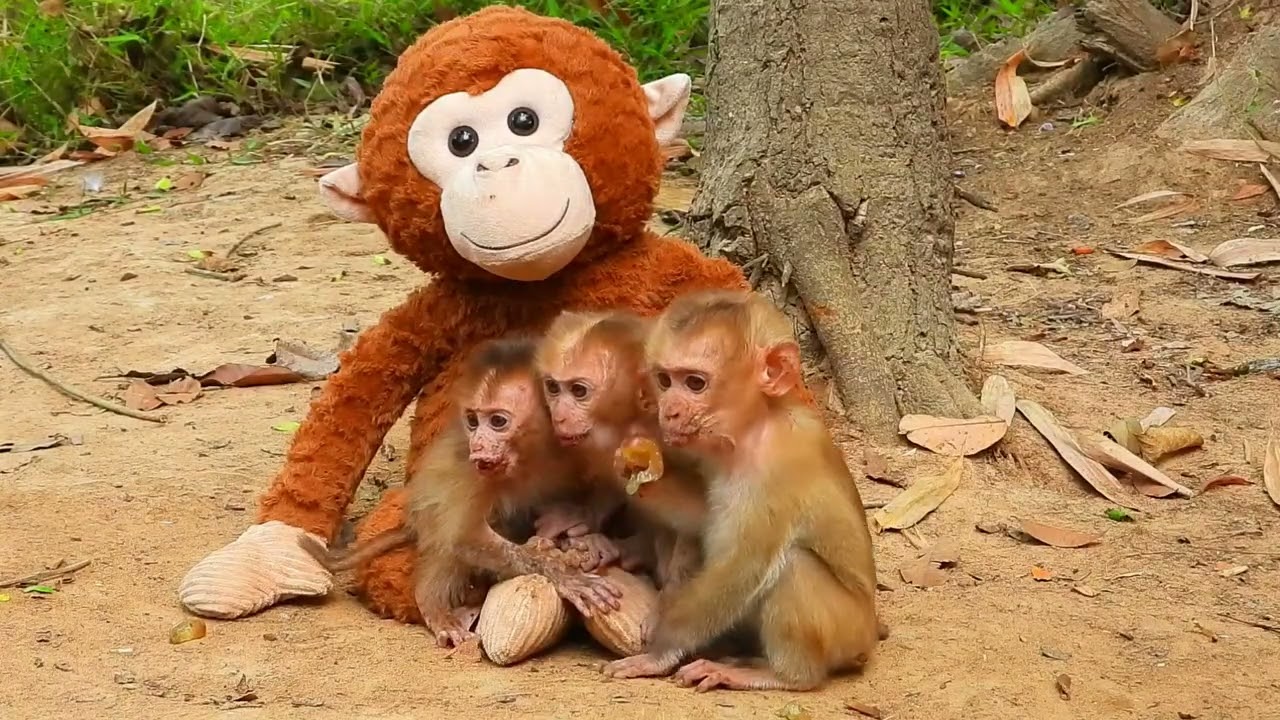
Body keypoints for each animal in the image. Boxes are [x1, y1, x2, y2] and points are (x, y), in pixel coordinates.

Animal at [301, 336, 623, 648]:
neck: (532, 454)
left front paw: (584, 530)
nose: (478, 444)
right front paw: (561, 572)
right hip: (431, 517)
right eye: (472, 421)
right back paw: (433, 602)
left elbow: (611, 485)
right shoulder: (474, 473)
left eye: (497, 422)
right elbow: (464, 535)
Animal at [601, 289, 884, 693]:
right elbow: (703, 515)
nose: (668, 412)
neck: (755, 427)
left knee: (794, 566)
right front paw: (637, 471)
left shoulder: (777, 471)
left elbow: (741, 568)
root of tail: (868, 634)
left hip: (844, 630)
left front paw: (659, 653)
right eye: (665, 380)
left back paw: (783, 676)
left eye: (695, 383)